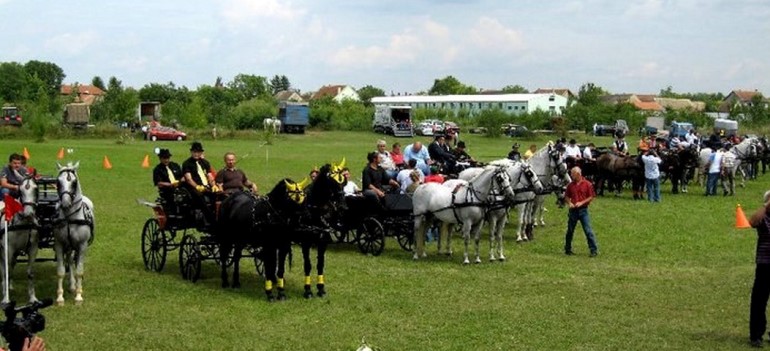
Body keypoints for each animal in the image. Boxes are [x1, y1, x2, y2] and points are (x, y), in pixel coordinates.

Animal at [53, 162, 92, 306]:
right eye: (58, 182)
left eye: (74, 183)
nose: (65, 203)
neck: (70, 218)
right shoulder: (59, 244)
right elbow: (60, 271)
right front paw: (60, 298)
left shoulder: (82, 246)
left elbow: (79, 271)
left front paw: (79, 297)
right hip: (68, 246)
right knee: (69, 260)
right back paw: (72, 285)